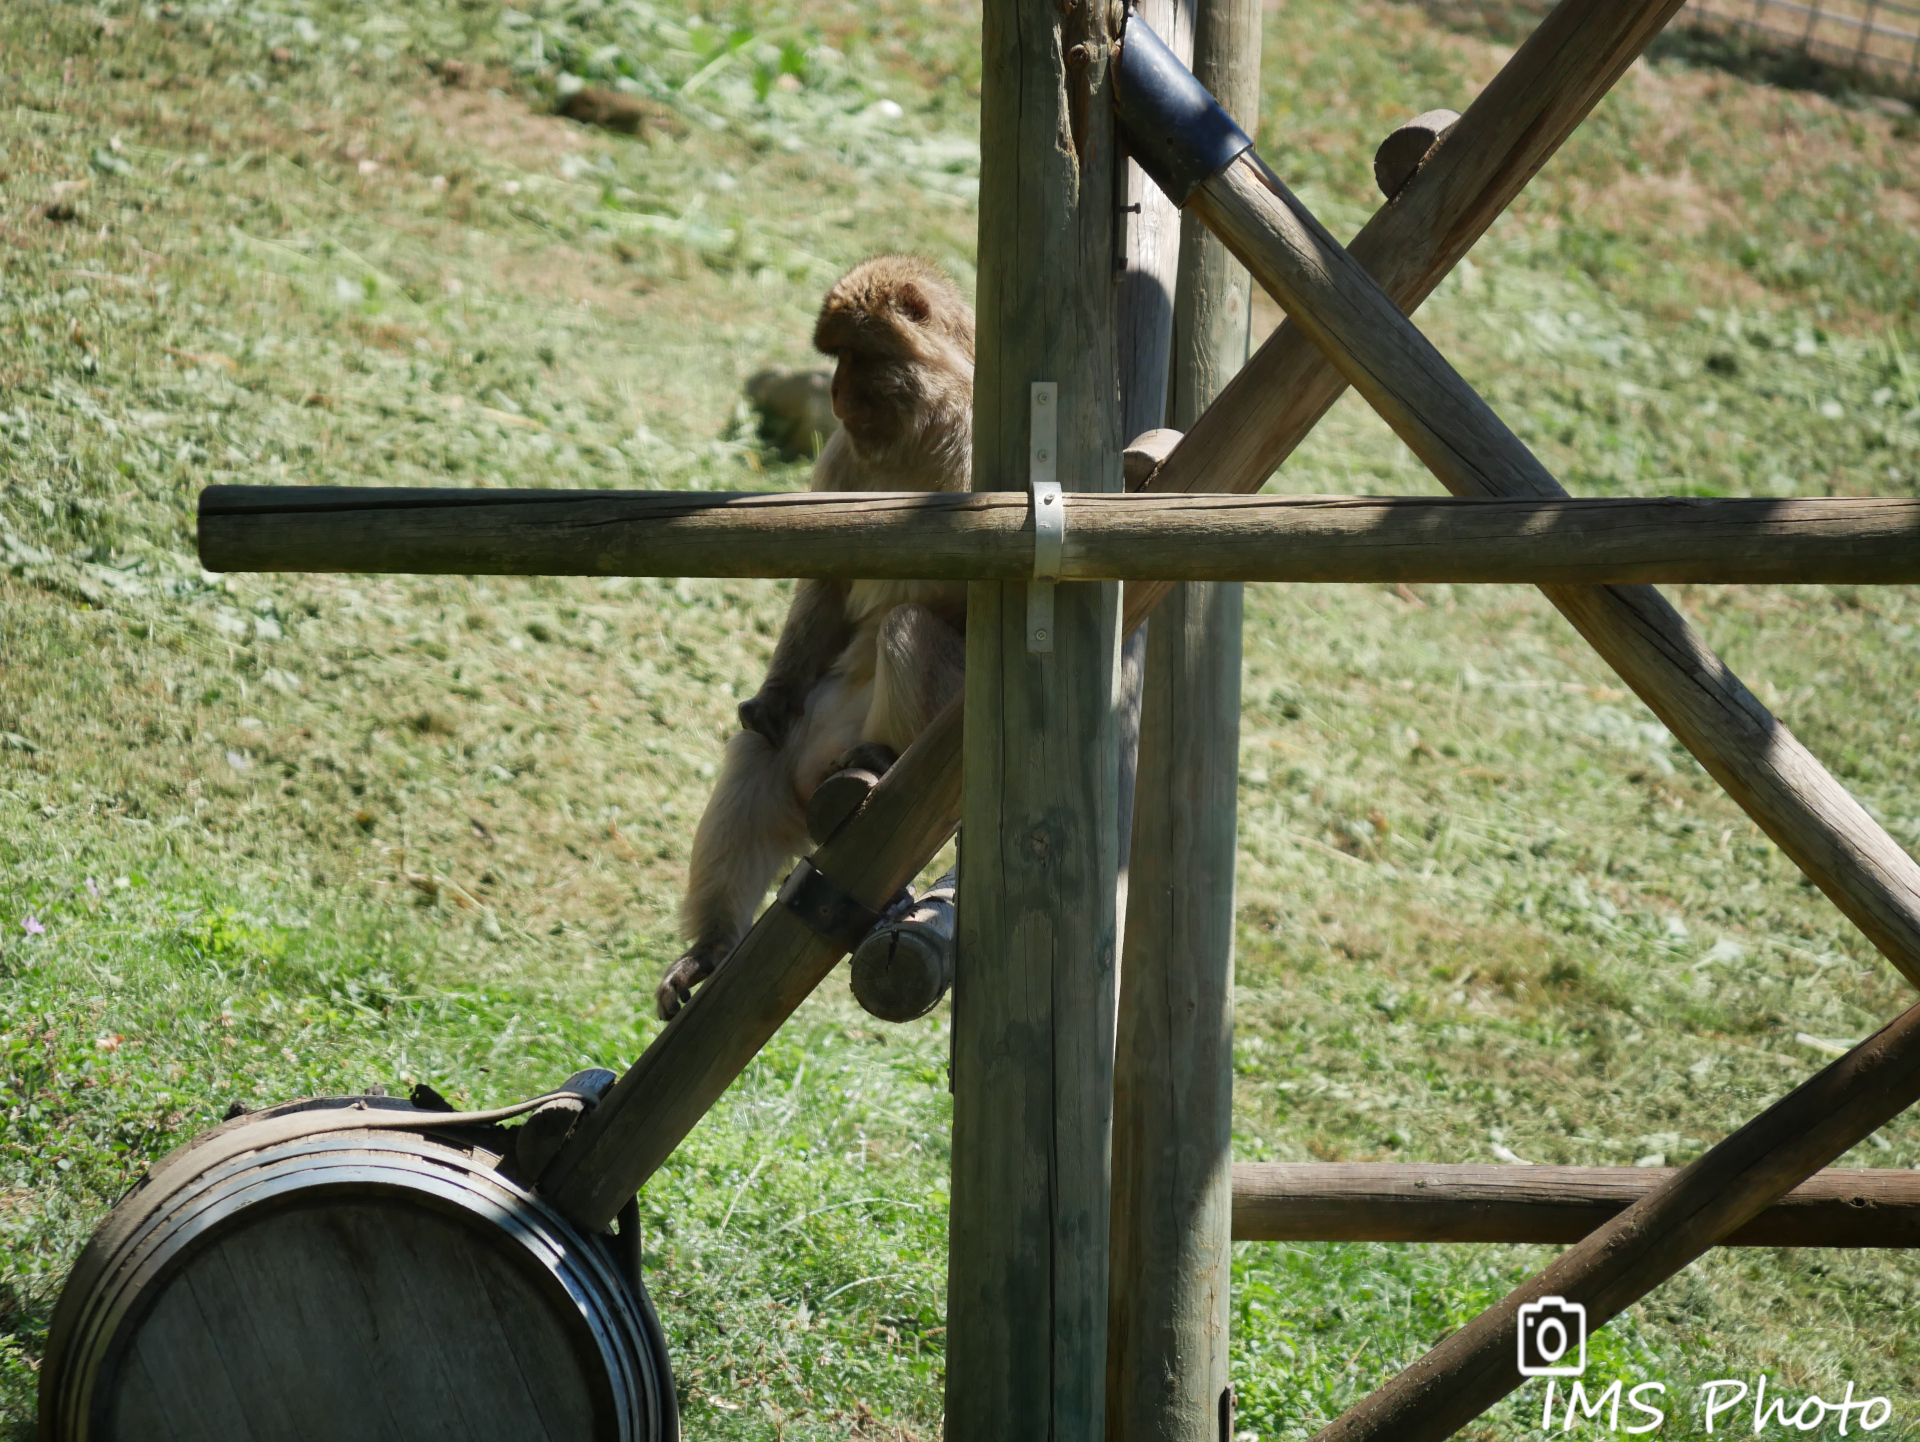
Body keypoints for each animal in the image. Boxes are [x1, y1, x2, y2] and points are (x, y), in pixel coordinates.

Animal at [660, 263, 975, 1029]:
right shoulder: (842, 451)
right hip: (804, 747)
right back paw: (712, 947)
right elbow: (826, 575)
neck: (923, 428)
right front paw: (771, 693)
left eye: (853, 355)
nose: (830, 390)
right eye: (832, 358)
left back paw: (877, 763)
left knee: (909, 628)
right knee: (757, 752)